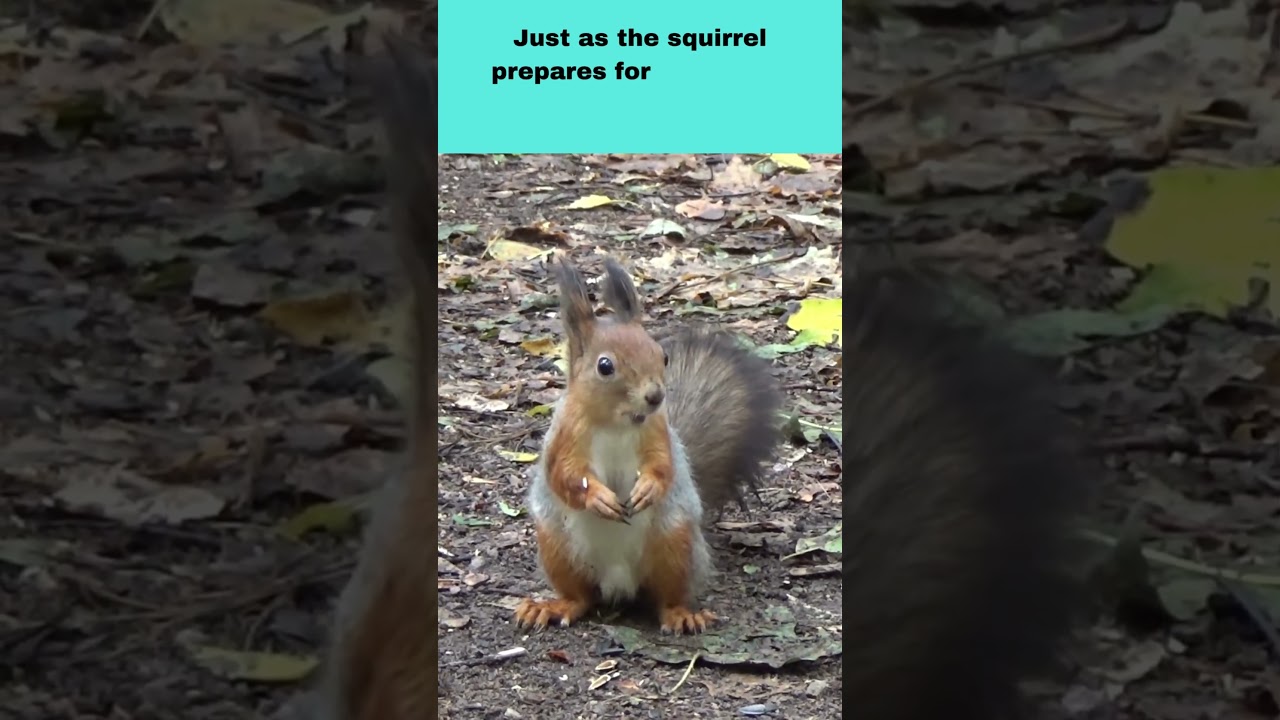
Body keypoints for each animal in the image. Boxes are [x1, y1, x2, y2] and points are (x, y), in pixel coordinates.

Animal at [513, 256, 782, 634]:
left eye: (662, 355)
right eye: (605, 366)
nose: (655, 396)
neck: (617, 421)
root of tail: (619, 586)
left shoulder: (658, 432)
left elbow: (663, 466)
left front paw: (647, 489)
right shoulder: (564, 437)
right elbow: (565, 475)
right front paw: (598, 498)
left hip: (674, 544)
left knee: (666, 597)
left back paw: (682, 615)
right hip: (557, 548)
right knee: (580, 598)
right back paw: (552, 606)